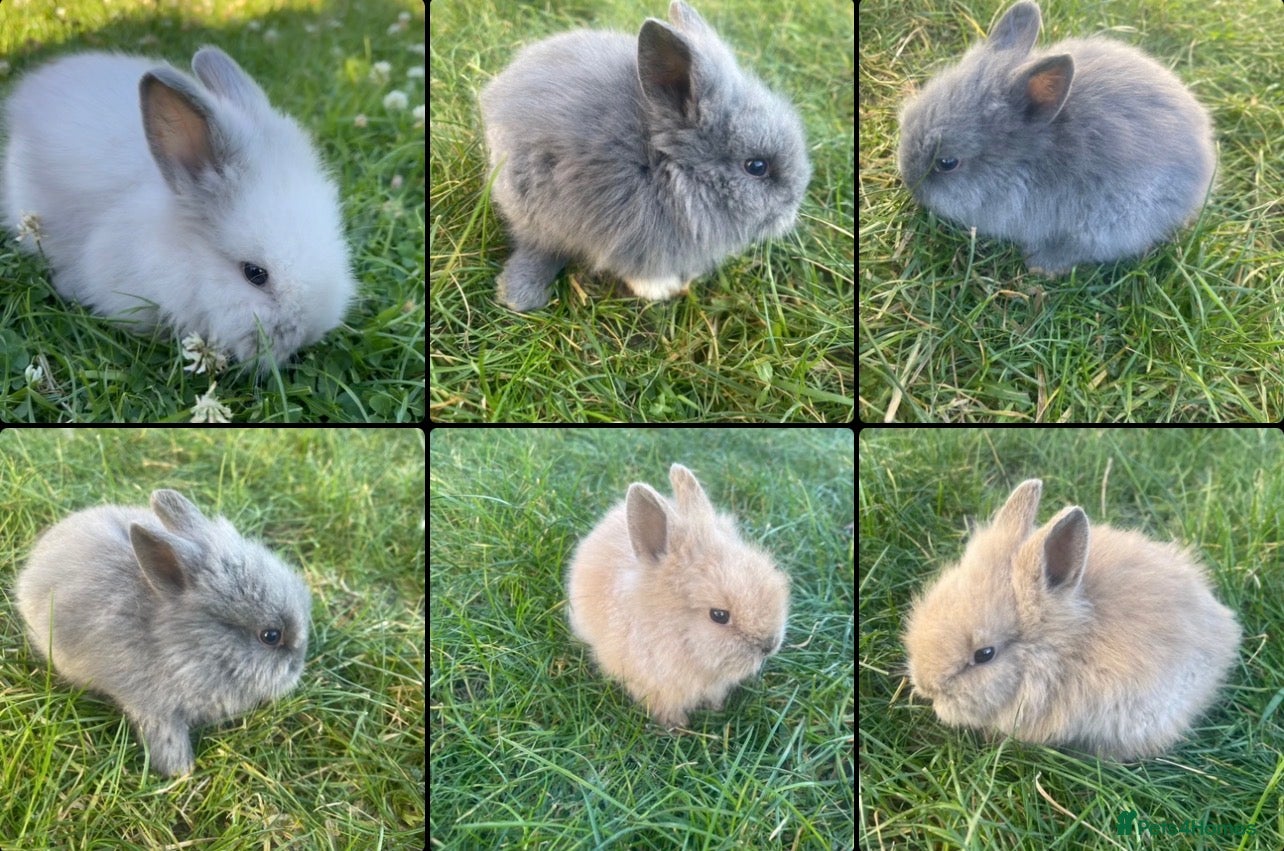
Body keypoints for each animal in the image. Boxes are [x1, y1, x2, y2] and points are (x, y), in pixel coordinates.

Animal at [14, 489, 312, 776]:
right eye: (271, 636)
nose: (297, 667)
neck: (179, 644)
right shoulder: (153, 707)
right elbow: (166, 737)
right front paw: (181, 772)